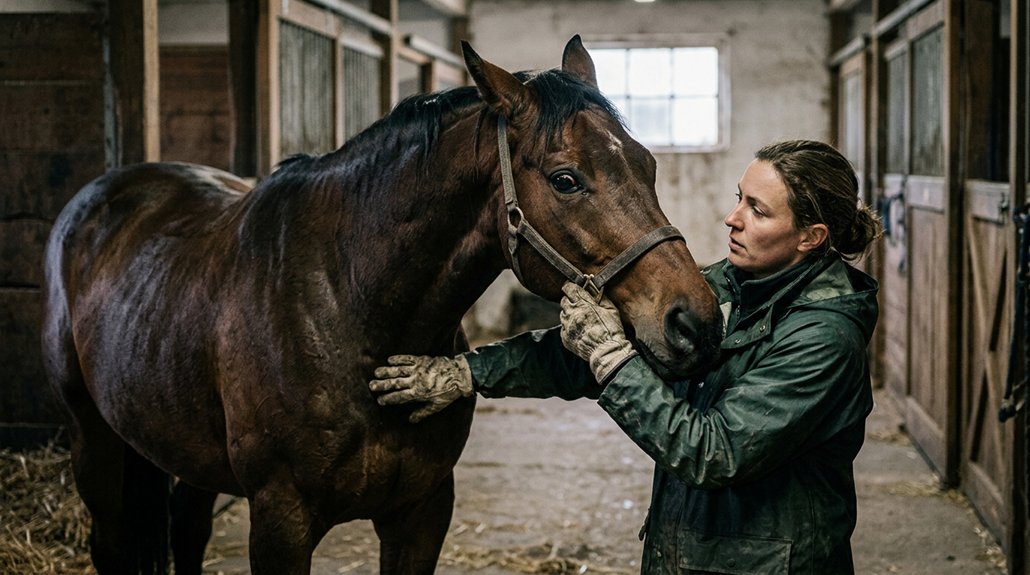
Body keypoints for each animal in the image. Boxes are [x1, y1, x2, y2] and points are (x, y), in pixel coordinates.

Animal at [41, 36, 723, 574]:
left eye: (648, 163)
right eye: (565, 179)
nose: (697, 322)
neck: (350, 308)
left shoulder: (421, 513)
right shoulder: (281, 521)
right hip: (92, 438)